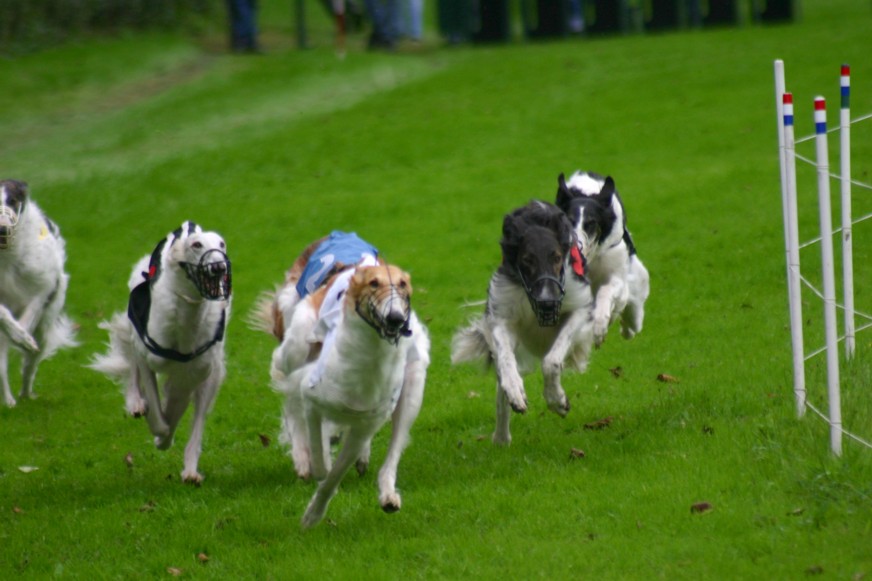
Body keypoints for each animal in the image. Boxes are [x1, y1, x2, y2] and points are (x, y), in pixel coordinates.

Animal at [0, 179, 77, 407]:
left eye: (13, 200)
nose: (2, 230)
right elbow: (4, 315)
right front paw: (18, 335)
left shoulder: (43, 289)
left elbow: (31, 312)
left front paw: (23, 339)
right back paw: (9, 400)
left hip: (45, 325)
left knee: (31, 364)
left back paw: (25, 394)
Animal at [89, 221, 232, 484]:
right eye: (197, 245)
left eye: (222, 244)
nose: (219, 267)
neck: (184, 326)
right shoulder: (147, 356)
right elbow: (157, 410)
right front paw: (154, 423)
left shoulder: (190, 375)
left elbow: (175, 412)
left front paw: (166, 440)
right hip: (135, 333)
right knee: (133, 368)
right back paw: (136, 402)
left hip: (211, 375)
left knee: (197, 420)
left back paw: (190, 471)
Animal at [250, 231, 430, 528]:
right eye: (373, 283)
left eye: (403, 285)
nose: (396, 318)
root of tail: (336, 235)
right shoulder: (313, 395)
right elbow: (321, 457)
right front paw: (314, 467)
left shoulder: (366, 419)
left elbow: (337, 470)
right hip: (296, 342)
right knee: (288, 390)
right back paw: (303, 458)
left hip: (413, 381)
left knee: (391, 454)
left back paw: (386, 492)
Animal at [451, 201, 594, 445]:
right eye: (527, 260)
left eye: (557, 257)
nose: (548, 303)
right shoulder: (502, 315)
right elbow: (506, 363)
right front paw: (516, 392)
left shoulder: (579, 306)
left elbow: (551, 361)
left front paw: (557, 401)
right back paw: (501, 438)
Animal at [555, 171, 650, 346]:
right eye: (569, 220)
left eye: (591, 223)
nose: (575, 248)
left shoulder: (617, 274)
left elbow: (606, 291)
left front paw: (600, 326)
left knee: (632, 318)